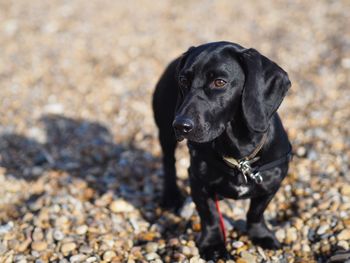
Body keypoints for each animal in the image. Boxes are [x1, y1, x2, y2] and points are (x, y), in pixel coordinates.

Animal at [153, 42, 292, 260]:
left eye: (219, 82)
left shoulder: (272, 184)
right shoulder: (198, 182)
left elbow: (256, 213)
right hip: (165, 133)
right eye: (183, 80)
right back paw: (171, 195)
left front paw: (261, 235)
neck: (240, 157)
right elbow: (209, 217)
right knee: (169, 163)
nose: (181, 125)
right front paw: (213, 245)